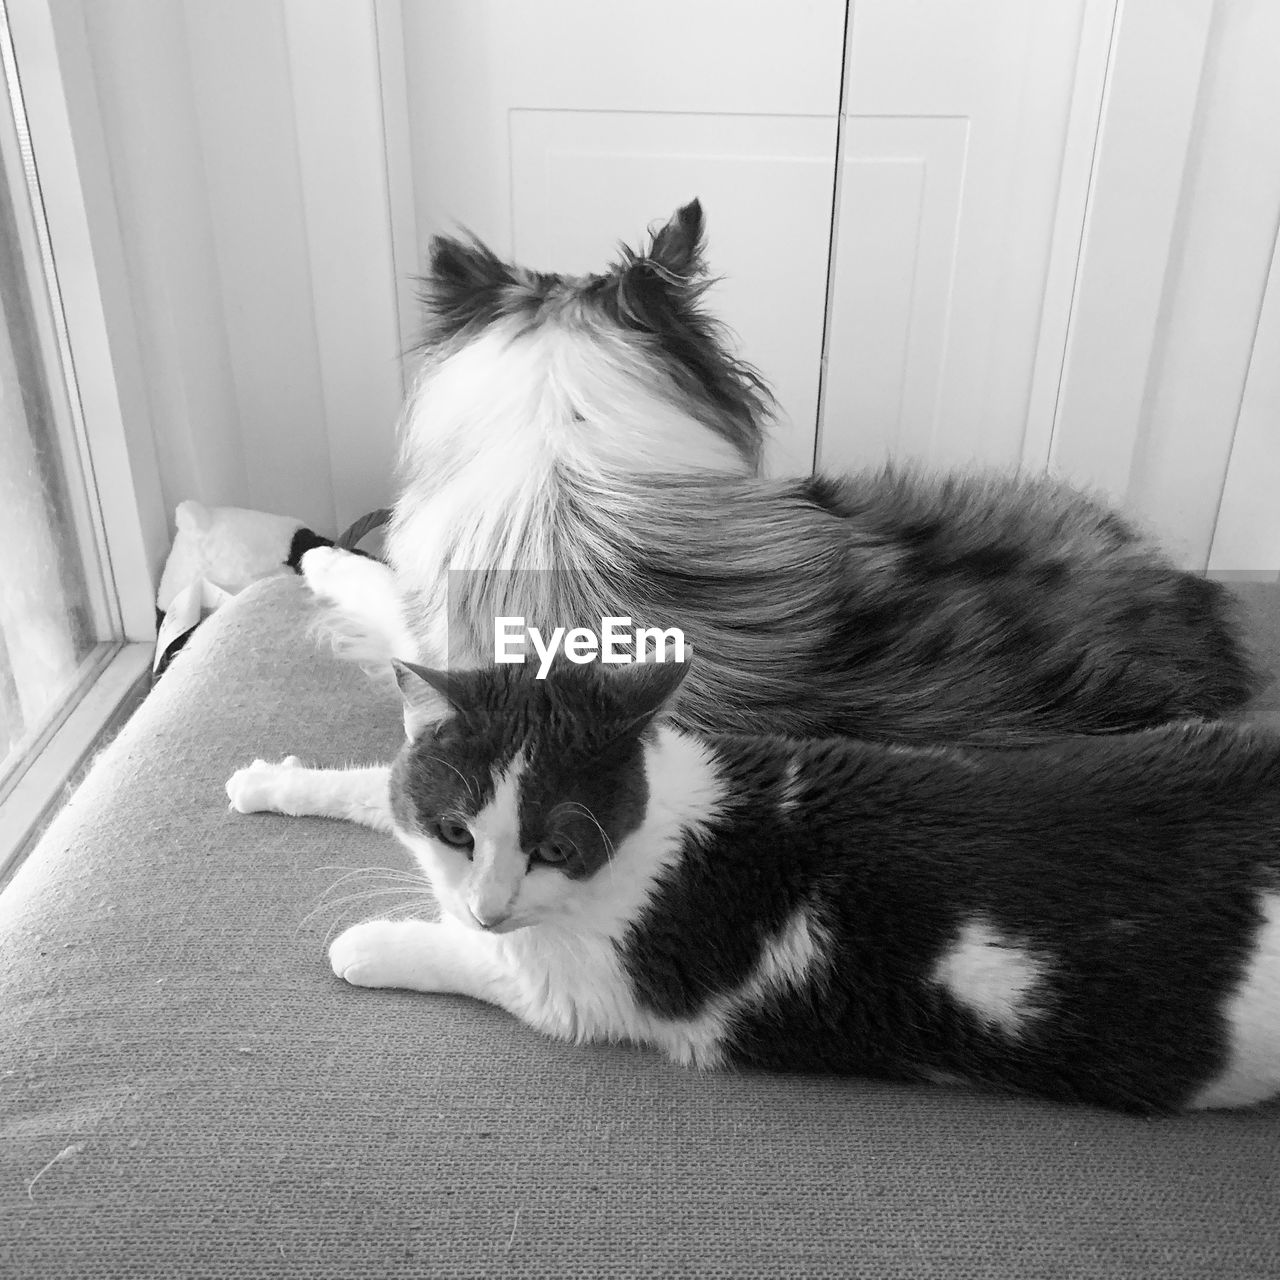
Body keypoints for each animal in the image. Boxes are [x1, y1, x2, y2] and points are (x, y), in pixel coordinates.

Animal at [232, 655, 1280, 1116]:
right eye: (459, 831)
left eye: (557, 848)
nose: (489, 904)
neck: (655, 830)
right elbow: (378, 784)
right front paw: (271, 782)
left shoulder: (579, 987)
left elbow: (459, 955)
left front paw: (367, 942)